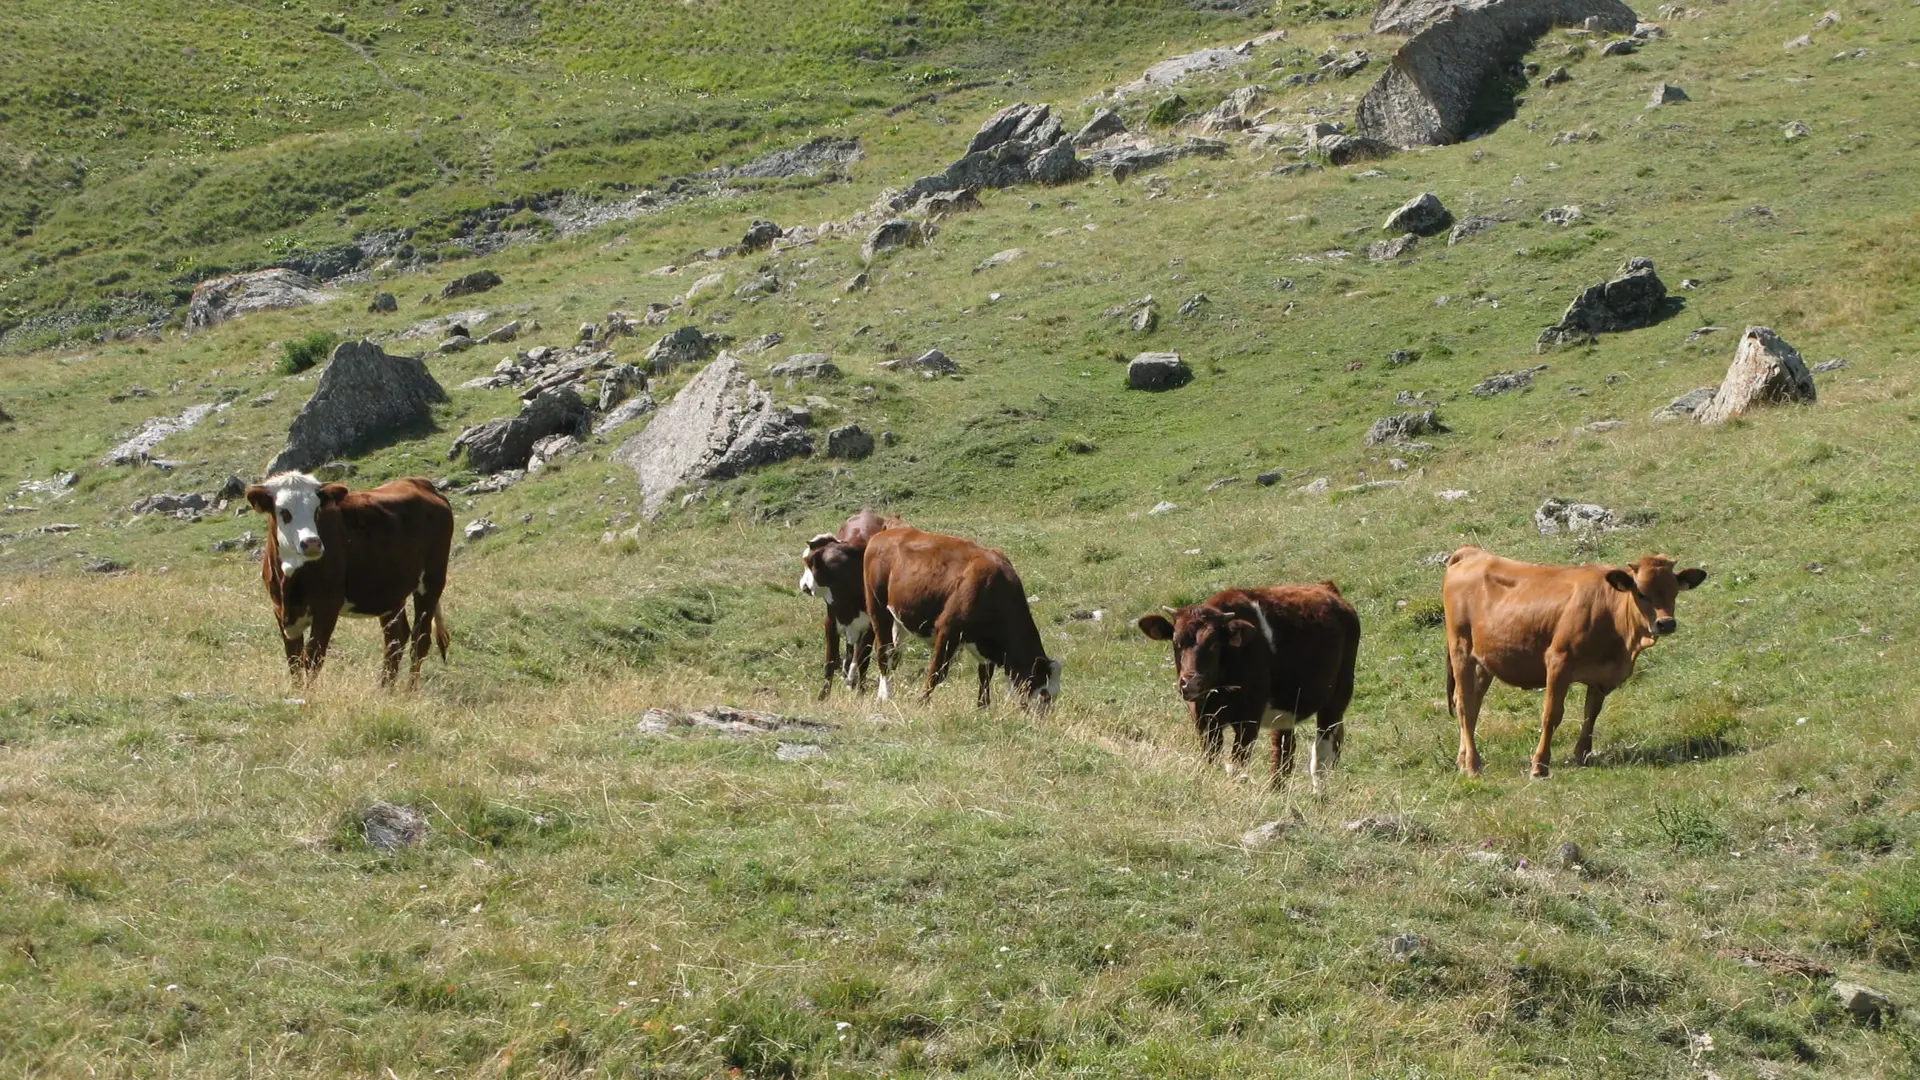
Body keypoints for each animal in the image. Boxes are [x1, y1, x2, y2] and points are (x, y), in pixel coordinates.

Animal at [245, 468, 455, 684]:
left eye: (316, 510)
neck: (289, 581)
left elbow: (312, 659)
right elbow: (294, 662)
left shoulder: (327, 608)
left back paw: (409, 690)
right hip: (389, 590)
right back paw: (385, 689)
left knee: (420, 640)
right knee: (395, 638)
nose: (312, 543)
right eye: (284, 512)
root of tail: (421, 482)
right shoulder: (280, 611)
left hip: (432, 582)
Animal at [802, 507, 906, 699]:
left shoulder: (871, 625)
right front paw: (823, 695)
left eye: (807, 563)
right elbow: (830, 660)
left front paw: (861, 691)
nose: (803, 586)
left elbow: (864, 660)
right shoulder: (831, 622)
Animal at [860, 522, 1059, 707]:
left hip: (899, 616)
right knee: (884, 652)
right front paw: (921, 703)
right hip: (877, 608)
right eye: (1044, 694)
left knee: (894, 653)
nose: (1042, 718)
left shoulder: (982, 643)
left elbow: (985, 676)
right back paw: (885, 695)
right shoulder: (948, 629)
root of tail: (888, 531)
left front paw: (983, 708)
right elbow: (937, 672)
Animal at [1136, 584, 1367, 787]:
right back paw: (1276, 791)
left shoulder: (1248, 720)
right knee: (1284, 751)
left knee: (1322, 754)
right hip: (1287, 708)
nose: (1190, 681)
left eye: (1214, 644)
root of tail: (1328, 589)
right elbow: (1211, 760)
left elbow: (1238, 765)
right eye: (1176, 642)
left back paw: (1320, 796)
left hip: (1337, 698)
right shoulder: (1204, 719)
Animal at [1443, 545, 1712, 772]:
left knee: (1472, 704)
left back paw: (1462, 759)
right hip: (1461, 649)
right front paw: (1540, 765)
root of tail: (1472, 552)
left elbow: (1591, 714)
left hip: (1484, 661)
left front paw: (1582, 755)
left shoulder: (1601, 675)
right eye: (1641, 593)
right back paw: (1473, 765)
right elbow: (1552, 715)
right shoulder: (1558, 661)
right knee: (1464, 705)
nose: (1666, 623)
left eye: (1675, 592)